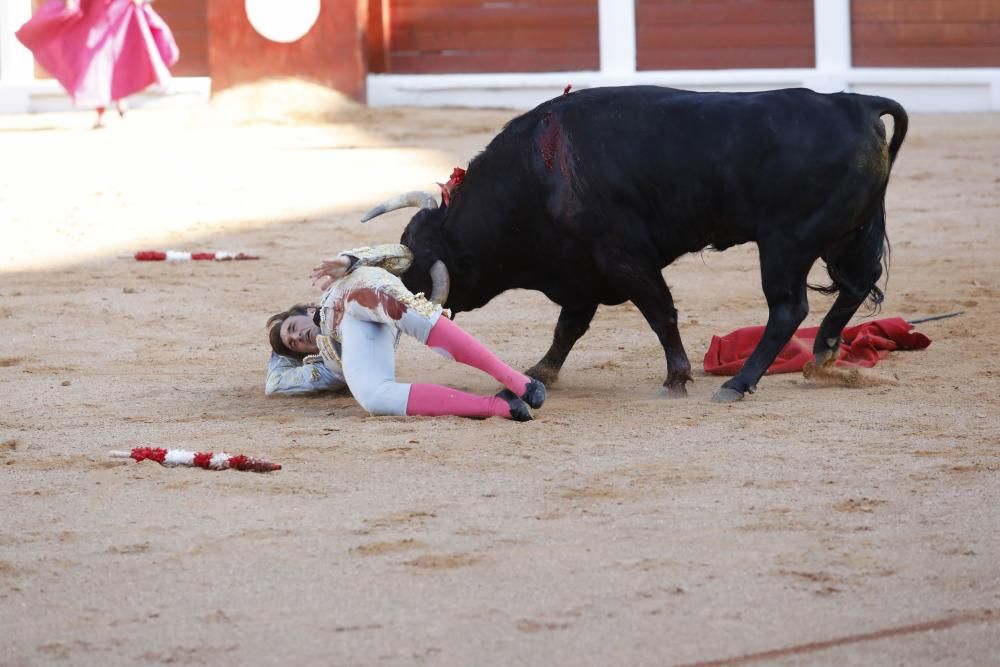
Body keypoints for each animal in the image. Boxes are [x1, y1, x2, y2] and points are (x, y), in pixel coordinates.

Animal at [366, 87, 908, 402]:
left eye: (418, 273)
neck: (535, 176)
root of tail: (854, 102)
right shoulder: (580, 274)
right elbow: (568, 329)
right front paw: (541, 371)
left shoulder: (624, 257)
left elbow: (659, 312)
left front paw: (677, 378)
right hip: (847, 233)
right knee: (854, 286)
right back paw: (823, 356)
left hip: (786, 243)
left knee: (789, 307)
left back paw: (739, 383)